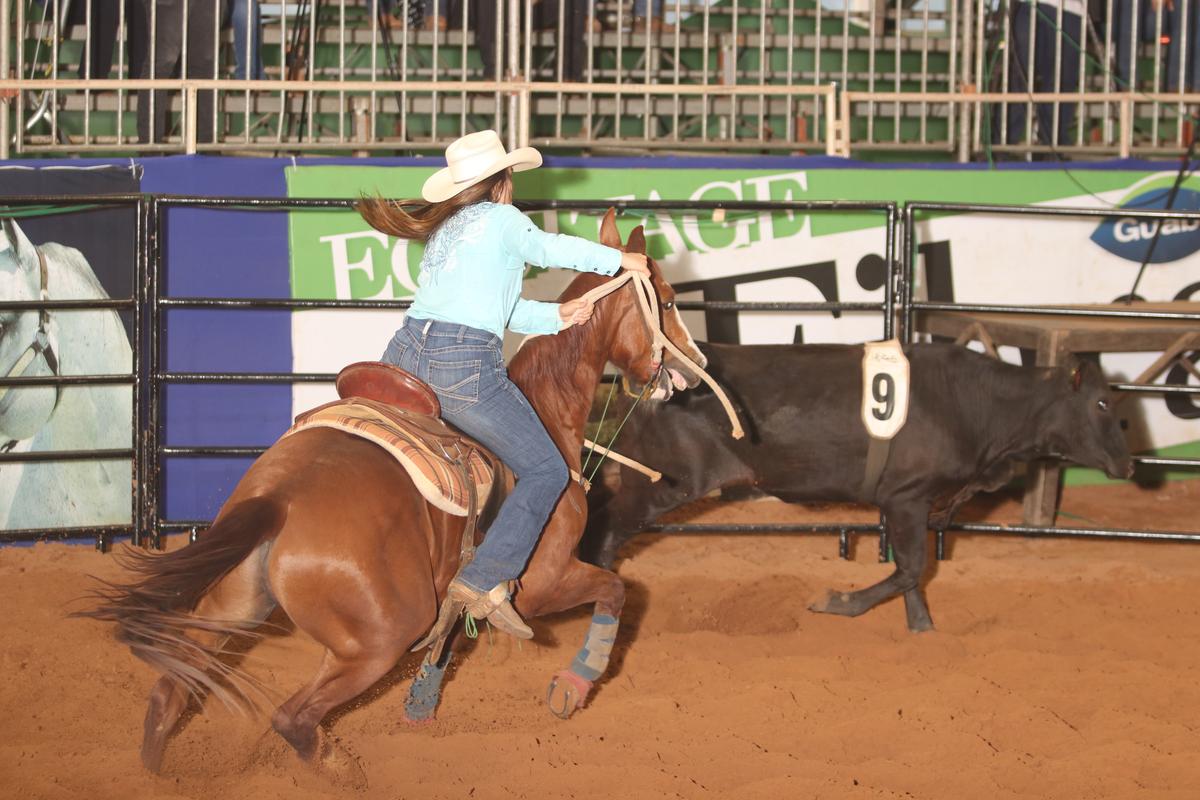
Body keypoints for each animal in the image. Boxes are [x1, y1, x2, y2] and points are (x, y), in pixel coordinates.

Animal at [82, 209, 700, 772]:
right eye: (669, 301)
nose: (693, 369)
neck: (546, 413)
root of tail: (279, 498)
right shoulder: (544, 583)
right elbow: (616, 590)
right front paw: (573, 685)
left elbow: (452, 637)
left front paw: (423, 701)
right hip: (379, 637)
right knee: (292, 718)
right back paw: (343, 772)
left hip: (233, 607)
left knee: (169, 693)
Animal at [583, 340, 1132, 633]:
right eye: (1103, 403)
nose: (1128, 464)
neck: (979, 407)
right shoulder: (907, 497)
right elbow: (910, 569)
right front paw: (839, 602)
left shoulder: (911, 503)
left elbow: (912, 571)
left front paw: (922, 626)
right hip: (663, 482)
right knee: (604, 532)